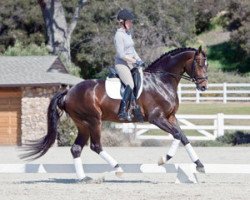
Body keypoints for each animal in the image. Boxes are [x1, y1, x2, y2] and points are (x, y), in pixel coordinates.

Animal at [21, 46, 208, 182]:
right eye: (199, 63)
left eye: (206, 65)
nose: (204, 86)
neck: (160, 81)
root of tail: (68, 92)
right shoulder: (157, 118)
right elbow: (176, 135)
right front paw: (163, 158)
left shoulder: (170, 117)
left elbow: (183, 137)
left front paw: (199, 165)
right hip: (93, 121)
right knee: (96, 146)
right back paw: (118, 169)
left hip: (83, 124)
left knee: (76, 148)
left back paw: (83, 178)